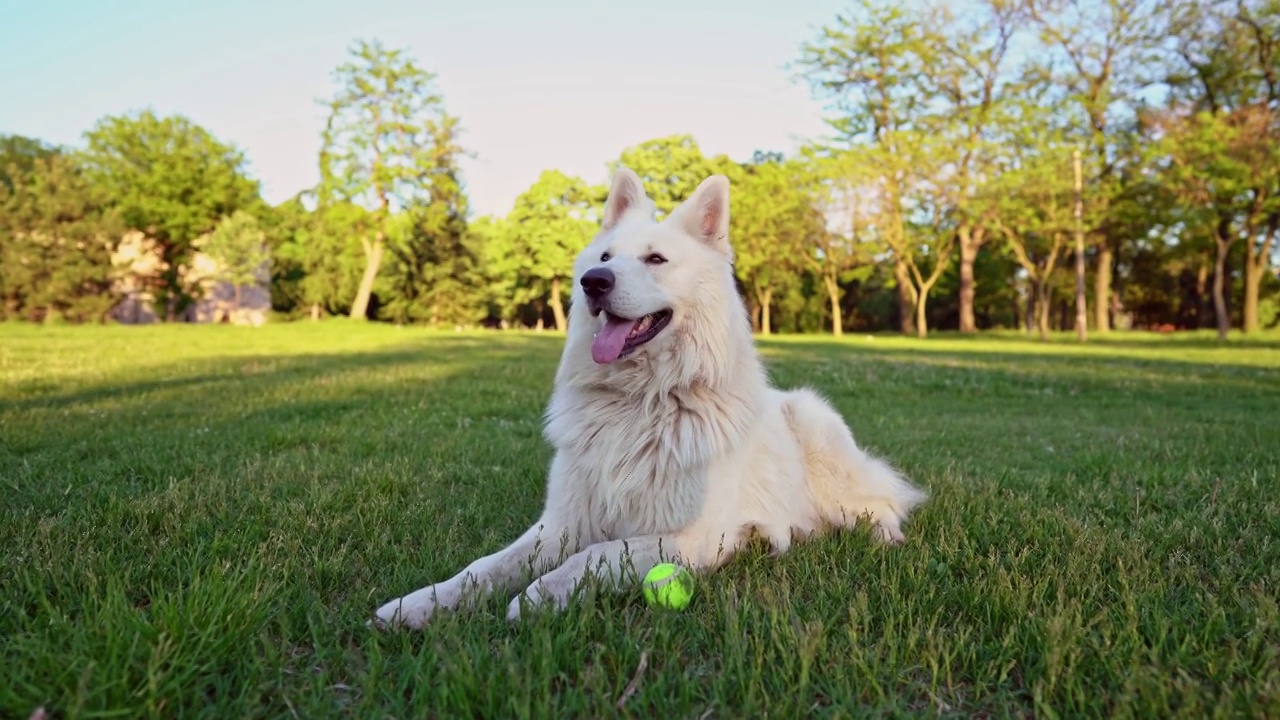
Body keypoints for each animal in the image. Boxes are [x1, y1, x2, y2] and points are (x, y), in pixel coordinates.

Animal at [373, 165, 926, 625]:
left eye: (655, 259)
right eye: (604, 257)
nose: (592, 281)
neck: (639, 402)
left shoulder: (690, 538)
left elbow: (592, 556)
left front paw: (536, 597)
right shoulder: (560, 524)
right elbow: (485, 565)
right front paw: (420, 603)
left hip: (817, 430)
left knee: (883, 502)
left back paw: (884, 539)